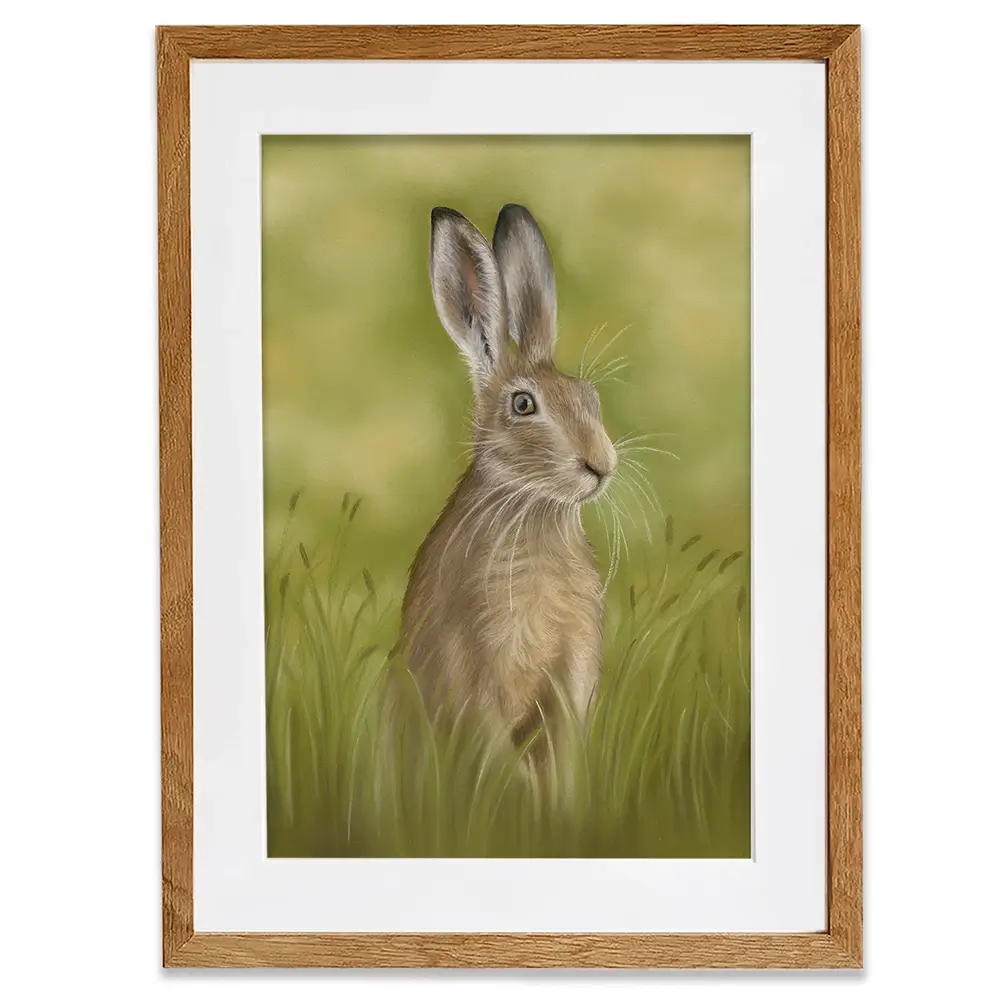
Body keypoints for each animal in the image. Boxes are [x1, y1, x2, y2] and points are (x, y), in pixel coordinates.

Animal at [398, 204, 618, 765]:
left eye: (589, 396)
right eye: (522, 405)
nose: (601, 463)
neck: (535, 511)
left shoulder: (572, 675)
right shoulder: (476, 673)